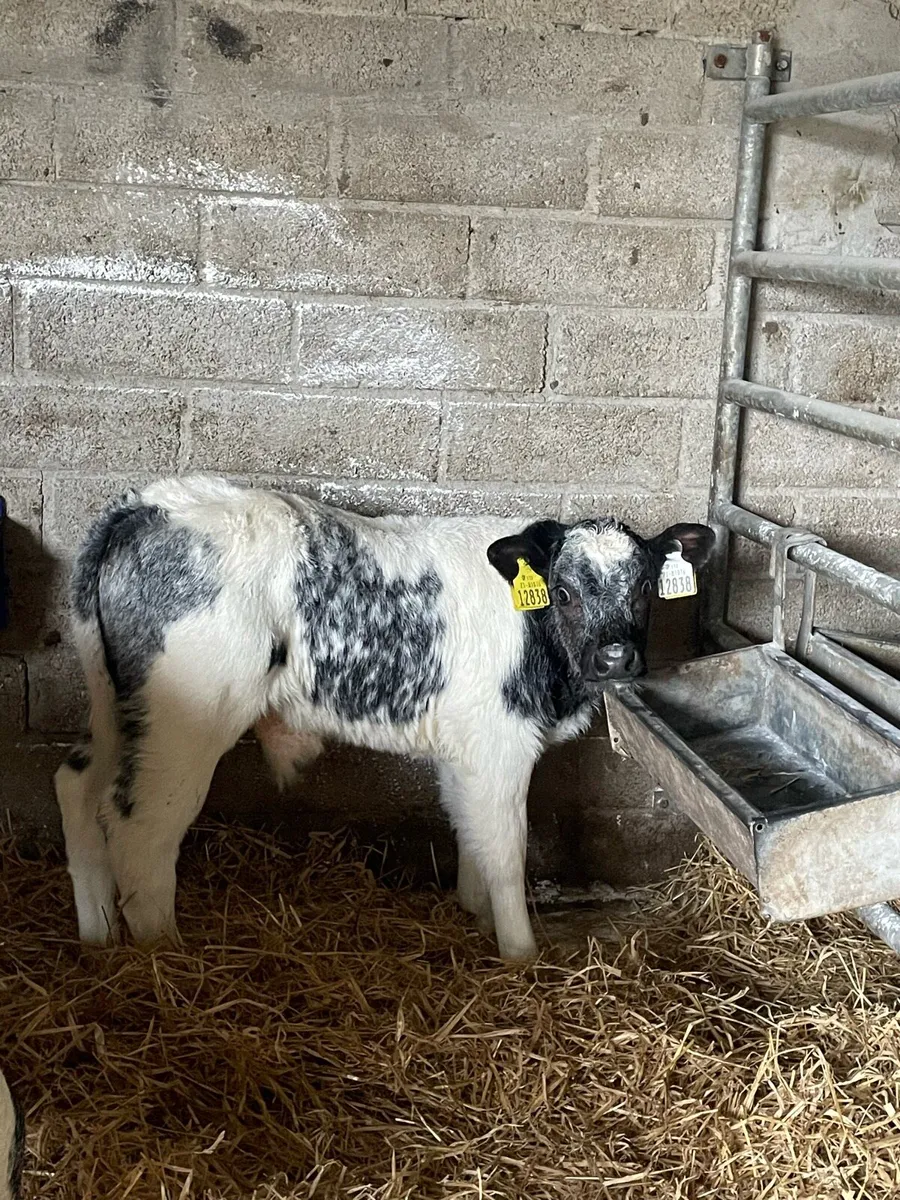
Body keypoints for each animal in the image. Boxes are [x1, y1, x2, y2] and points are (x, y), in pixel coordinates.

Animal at [55, 476, 714, 960]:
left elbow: (470, 832)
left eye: (645, 588)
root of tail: (147, 505)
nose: (616, 657)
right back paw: (161, 952)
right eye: (566, 591)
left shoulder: (464, 749)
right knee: (140, 822)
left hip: (113, 706)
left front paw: (473, 917)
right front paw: (520, 952)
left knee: (77, 784)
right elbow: (506, 850)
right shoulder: (500, 745)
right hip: (184, 723)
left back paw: (97, 937)